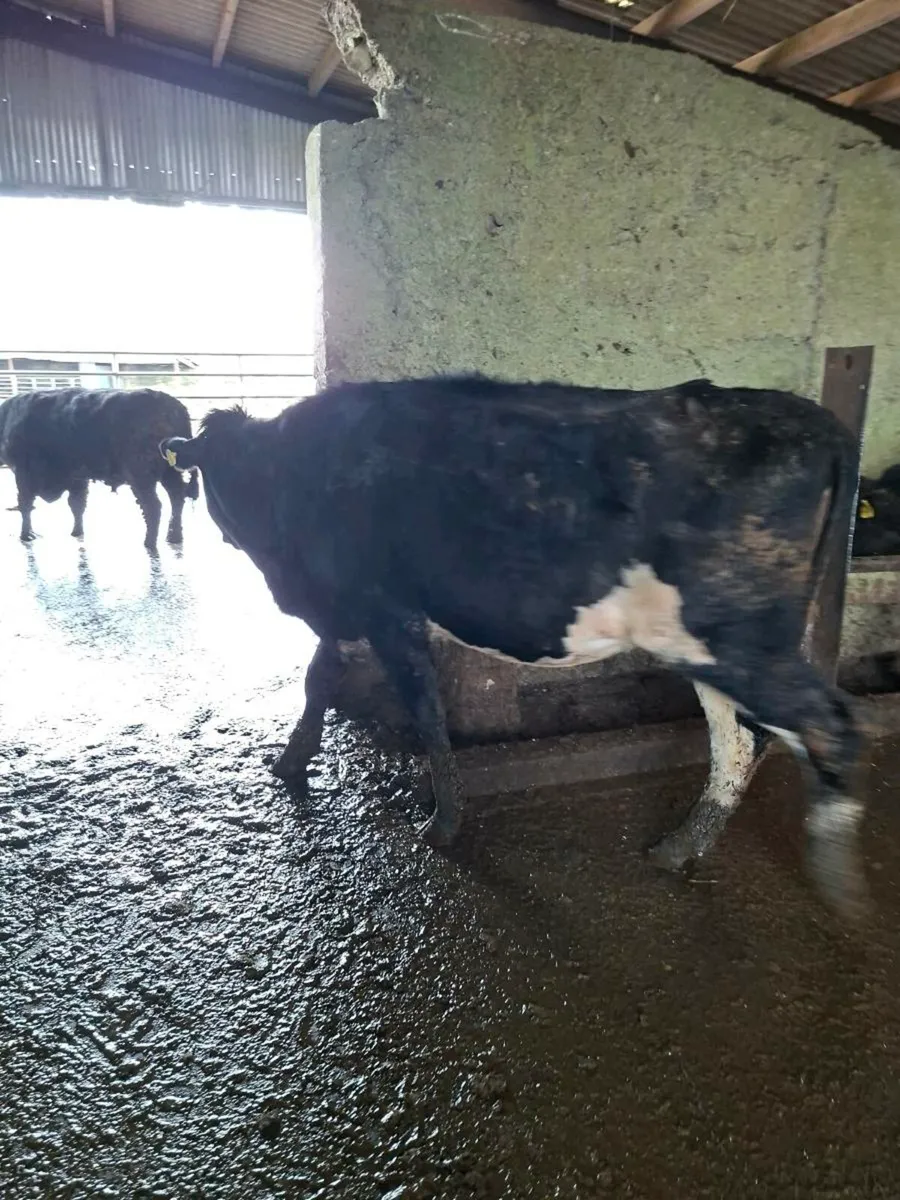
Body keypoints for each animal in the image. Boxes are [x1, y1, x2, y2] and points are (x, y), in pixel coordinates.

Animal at [0, 387, 199, 548]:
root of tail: (168, 404)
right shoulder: (78, 477)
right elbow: (77, 504)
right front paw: (77, 532)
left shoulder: (23, 474)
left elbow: (25, 504)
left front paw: (26, 535)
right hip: (168, 473)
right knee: (177, 497)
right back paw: (173, 537)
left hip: (141, 477)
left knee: (153, 506)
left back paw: (149, 542)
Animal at [161, 375, 866, 919]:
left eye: (208, 479)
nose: (228, 533)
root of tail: (813, 419)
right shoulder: (345, 611)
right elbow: (319, 679)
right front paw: (291, 762)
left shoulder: (387, 612)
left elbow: (425, 715)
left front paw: (442, 825)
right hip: (706, 648)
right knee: (742, 740)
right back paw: (680, 847)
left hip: (739, 642)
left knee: (826, 727)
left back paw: (837, 880)